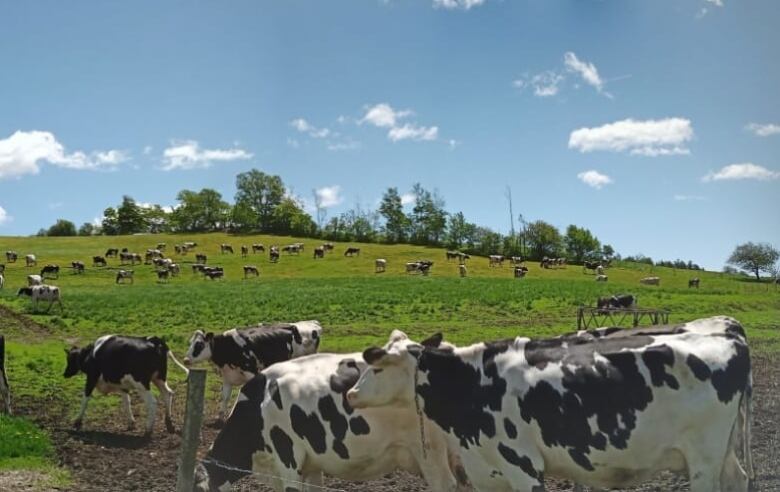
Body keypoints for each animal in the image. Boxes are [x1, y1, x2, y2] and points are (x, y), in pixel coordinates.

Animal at [184, 322, 322, 418]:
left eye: (199, 344)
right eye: (190, 342)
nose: (185, 360)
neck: (229, 346)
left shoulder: (252, 373)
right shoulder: (228, 377)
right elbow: (225, 396)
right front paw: (221, 416)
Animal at [350, 318, 752, 492]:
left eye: (376, 367)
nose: (350, 394)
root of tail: (728, 333)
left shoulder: (523, 466)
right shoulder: (488, 473)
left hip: (703, 459)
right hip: (724, 454)